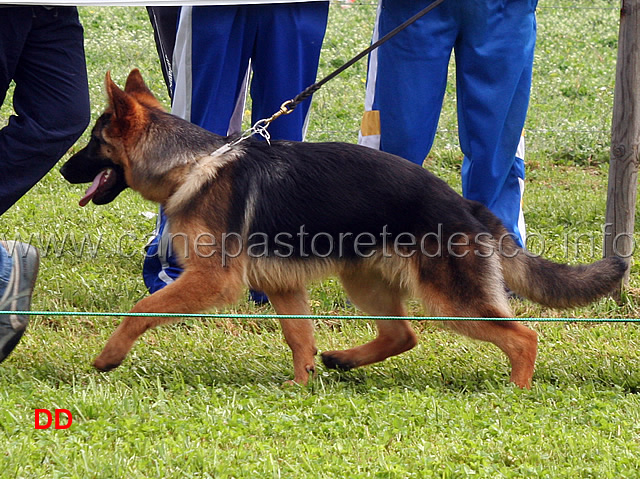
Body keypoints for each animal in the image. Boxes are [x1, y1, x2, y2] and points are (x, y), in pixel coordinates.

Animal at [63, 69, 624, 388]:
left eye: (91, 143)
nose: (64, 171)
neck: (189, 164)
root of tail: (464, 203)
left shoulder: (212, 281)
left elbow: (141, 308)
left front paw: (109, 357)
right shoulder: (282, 284)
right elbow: (298, 338)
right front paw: (302, 385)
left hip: (450, 301)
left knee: (523, 337)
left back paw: (517, 391)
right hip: (365, 280)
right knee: (402, 335)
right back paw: (344, 361)